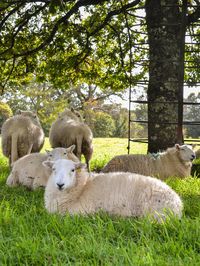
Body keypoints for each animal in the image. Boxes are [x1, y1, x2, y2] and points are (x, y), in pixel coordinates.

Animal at [43, 159, 183, 221]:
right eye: (53, 169)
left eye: (72, 170)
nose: (60, 184)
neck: (83, 186)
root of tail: (178, 203)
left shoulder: (79, 211)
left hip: (155, 213)